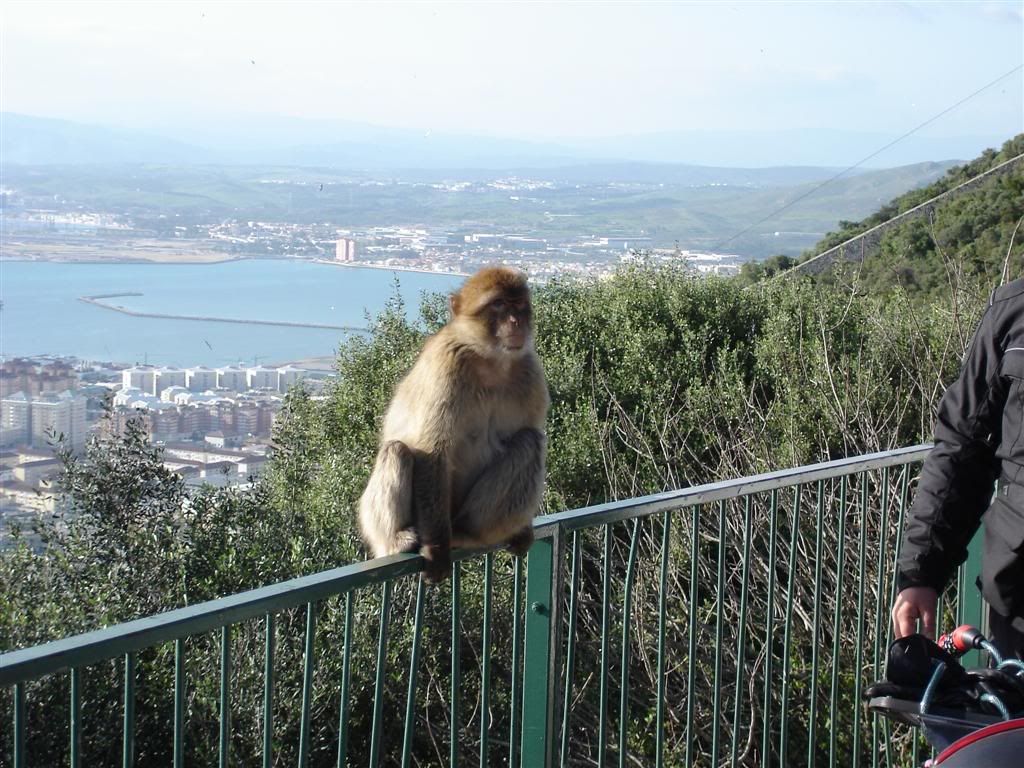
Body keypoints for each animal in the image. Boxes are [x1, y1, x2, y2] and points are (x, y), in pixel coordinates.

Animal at [360, 266, 552, 581]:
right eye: (499, 304)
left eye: (520, 305)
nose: (516, 322)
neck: (491, 360)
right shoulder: (446, 365)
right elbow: (432, 450)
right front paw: (437, 548)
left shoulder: (531, 373)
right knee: (397, 451)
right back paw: (398, 540)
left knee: (529, 441)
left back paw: (474, 532)